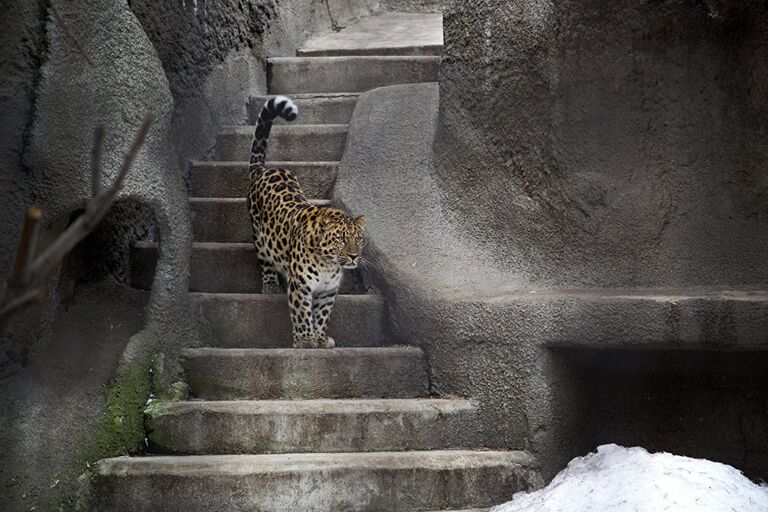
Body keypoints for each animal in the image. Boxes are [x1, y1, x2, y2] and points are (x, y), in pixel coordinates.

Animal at [248, 95, 364, 348]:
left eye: (359, 239)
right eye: (341, 239)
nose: (353, 256)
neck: (329, 264)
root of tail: (264, 170)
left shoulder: (328, 291)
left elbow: (322, 315)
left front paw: (319, 337)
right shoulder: (300, 285)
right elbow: (302, 313)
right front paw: (305, 340)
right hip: (259, 236)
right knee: (264, 259)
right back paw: (270, 285)